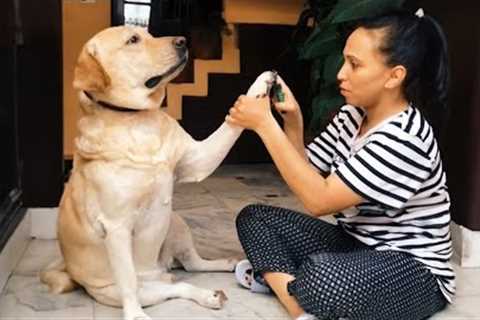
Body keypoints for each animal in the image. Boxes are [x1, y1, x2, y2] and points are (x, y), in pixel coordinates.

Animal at [39, 25, 272, 320]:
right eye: (133, 40)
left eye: (148, 33)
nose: (183, 41)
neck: (135, 119)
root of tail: (162, 270)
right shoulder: (116, 227)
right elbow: (128, 280)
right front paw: (135, 315)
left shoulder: (199, 160)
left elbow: (229, 125)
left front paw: (261, 85)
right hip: (130, 287)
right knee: (174, 285)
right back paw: (205, 295)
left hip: (175, 220)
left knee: (192, 265)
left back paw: (221, 270)